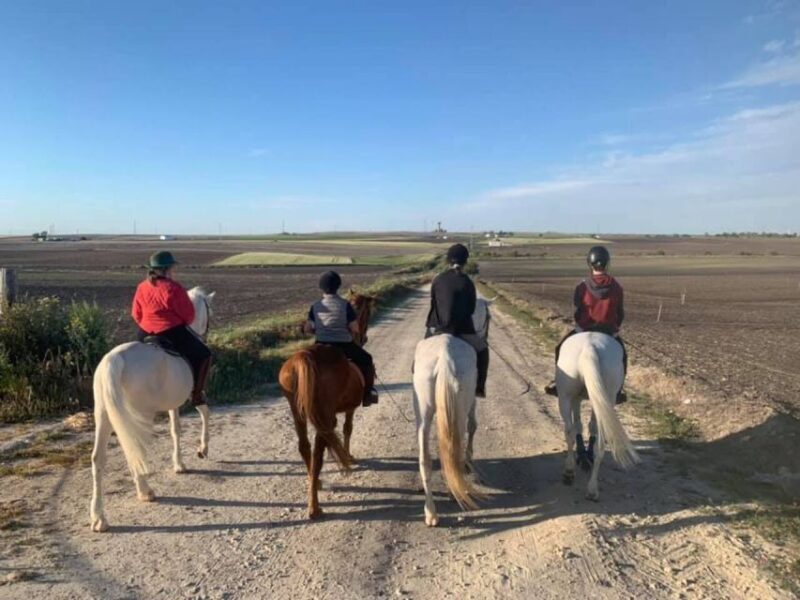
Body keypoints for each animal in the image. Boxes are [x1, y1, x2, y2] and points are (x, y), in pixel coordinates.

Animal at [89, 287, 215, 532]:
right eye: (209, 309)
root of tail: (114, 359)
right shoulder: (191, 396)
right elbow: (203, 414)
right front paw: (201, 450)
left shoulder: (173, 403)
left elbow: (175, 430)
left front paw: (179, 464)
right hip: (140, 414)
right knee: (136, 449)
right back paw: (145, 491)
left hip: (104, 415)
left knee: (99, 458)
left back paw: (99, 518)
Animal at [278, 292, 377, 520]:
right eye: (367, 314)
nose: (364, 337)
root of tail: (305, 356)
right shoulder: (350, 409)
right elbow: (348, 429)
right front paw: (349, 456)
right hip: (322, 415)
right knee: (317, 455)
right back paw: (314, 507)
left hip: (297, 410)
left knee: (304, 447)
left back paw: (317, 483)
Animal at [412, 298, 491, 527]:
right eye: (489, 317)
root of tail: (445, 356)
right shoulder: (472, 400)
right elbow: (473, 426)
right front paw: (469, 461)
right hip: (459, 410)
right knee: (454, 446)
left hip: (423, 413)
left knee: (425, 459)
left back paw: (431, 512)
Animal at [556, 331, 639, 501]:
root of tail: (590, 346)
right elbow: (588, 427)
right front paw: (585, 456)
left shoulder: (576, 398)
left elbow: (579, 425)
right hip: (606, 397)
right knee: (599, 442)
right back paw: (592, 489)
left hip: (565, 397)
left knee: (569, 432)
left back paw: (569, 472)